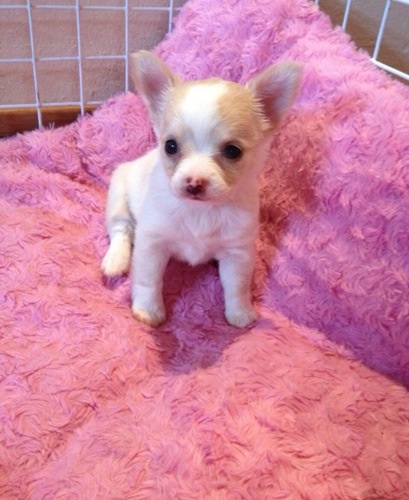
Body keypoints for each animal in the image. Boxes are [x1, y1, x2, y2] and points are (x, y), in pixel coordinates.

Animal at [101, 51, 301, 328]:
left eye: (233, 151)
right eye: (170, 146)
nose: (194, 182)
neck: (201, 211)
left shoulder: (238, 252)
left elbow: (237, 286)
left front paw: (240, 313)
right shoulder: (151, 242)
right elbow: (148, 279)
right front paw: (148, 310)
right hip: (118, 194)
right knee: (121, 230)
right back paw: (115, 260)